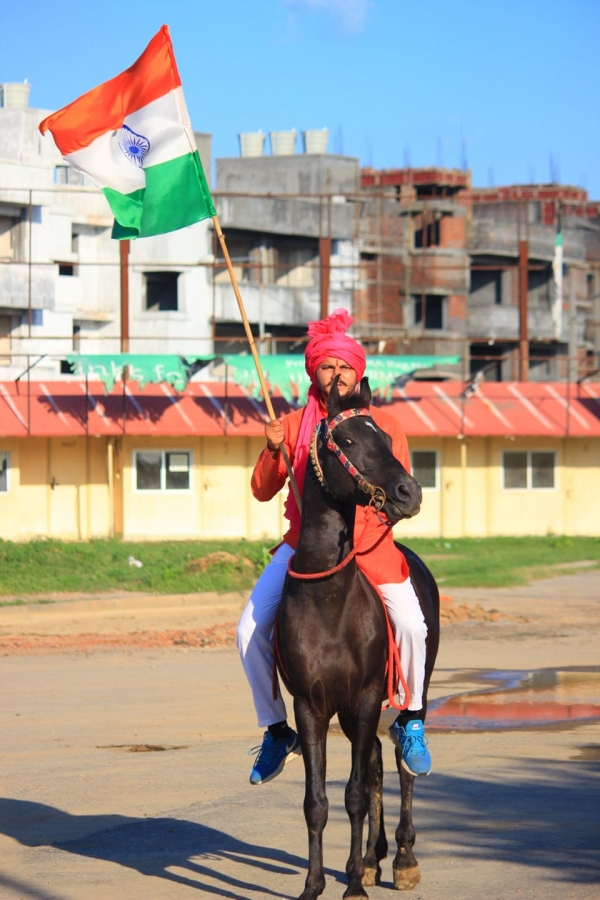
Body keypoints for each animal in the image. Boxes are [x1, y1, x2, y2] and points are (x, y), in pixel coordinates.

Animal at [278, 378, 440, 900]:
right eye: (347, 440)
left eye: (387, 439)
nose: (409, 490)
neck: (327, 598)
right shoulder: (310, 705)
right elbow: (318, 801)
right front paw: (316, 884)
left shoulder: (367, 697)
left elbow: (352, 794)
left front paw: (352, 885)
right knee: (374, 765)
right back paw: (373, 856)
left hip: (411, 688)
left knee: (401, 754)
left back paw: (403, 856)